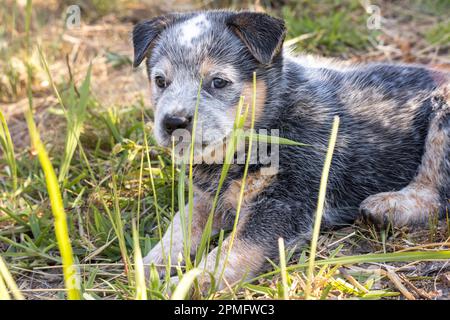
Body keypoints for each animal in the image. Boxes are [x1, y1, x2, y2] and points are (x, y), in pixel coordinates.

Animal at [131, 10, 450, 292]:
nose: (173, 122)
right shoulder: (211, 198)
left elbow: (234, 250)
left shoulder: (285, 203)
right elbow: (180, 225)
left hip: (443, 112)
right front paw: (147, 267)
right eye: (160, 81)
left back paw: (389, 206)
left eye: (218, 81)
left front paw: (192, 283)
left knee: (435, 191)